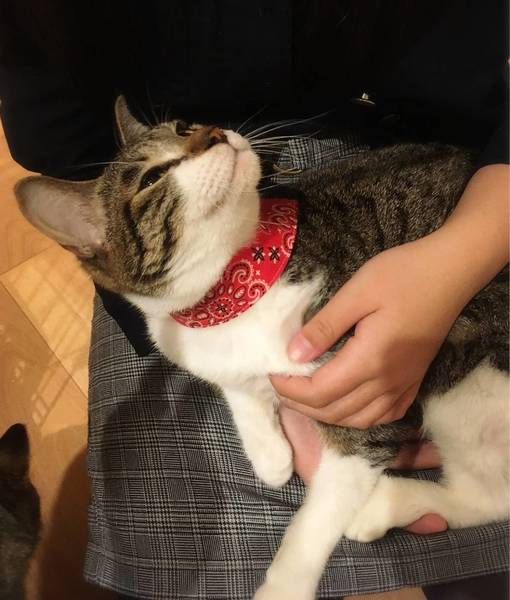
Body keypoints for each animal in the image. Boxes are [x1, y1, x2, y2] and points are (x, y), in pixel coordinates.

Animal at [15, 97, 509, 600]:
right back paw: (387, 505)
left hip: (469, 376)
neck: (235, 288)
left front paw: (284, 585)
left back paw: (383, 502)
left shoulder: (367, 389)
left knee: (493, 495)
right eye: (152, 178)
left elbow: (319, 517)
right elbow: (238, 389)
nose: (213, 132)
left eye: (185, 125)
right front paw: (270, 454)